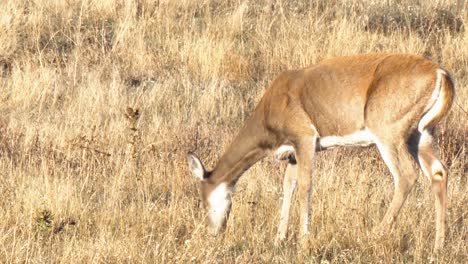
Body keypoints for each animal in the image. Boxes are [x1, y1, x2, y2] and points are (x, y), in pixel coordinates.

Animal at [186, 53, 454, 250]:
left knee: (406, 175)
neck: (273, 103)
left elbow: (306, 185)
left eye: (204, 200)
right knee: (438, 172)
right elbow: (289, 186)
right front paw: (280, 238)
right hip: (421, 136)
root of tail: (439, 73)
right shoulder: (293, 154)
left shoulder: (305, 139)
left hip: (389, 136)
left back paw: (375, 235)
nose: (213, 232)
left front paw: (304, 238)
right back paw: (438, 246)